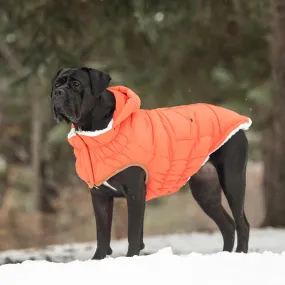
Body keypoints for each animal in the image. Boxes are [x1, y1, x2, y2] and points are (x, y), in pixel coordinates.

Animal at [51, 67, 248, 258]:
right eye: (56, 85)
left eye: (76, 84)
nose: (58, 93)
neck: (95, 131)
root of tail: (236, 116)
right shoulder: (100, 195)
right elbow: (103, 234)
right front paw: (98, 259)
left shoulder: (135, 192)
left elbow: (133, 233)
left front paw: (130, 258)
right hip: (205, 191)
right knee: (228, 225)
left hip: (232, 179)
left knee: (242, 223)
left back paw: (240, 253)